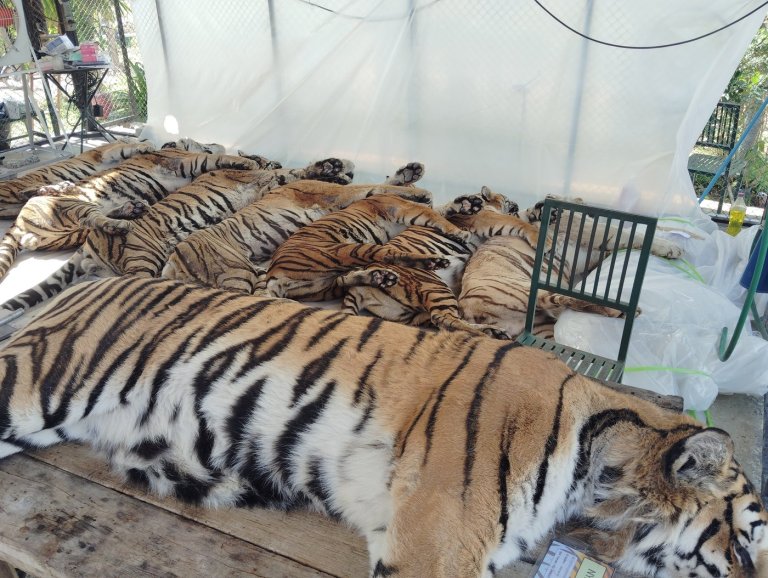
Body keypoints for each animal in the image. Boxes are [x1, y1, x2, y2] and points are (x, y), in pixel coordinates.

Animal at [0, 139, 156, 218]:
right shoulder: (106, 153)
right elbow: (127, 146)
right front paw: (146, 146)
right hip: (17, 187)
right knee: (23, 192)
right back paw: (58, 186)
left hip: (13, 208)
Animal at [0, 148, 274, 282]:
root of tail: (18, 222)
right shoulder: (187, 162)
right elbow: (218, 157)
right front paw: (250, 162)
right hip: (71, 206)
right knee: (92, 217)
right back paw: (120, 224)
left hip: (67, 233)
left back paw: (130, 209)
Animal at [161, 163, 430, 294]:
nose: (346, 172)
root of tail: (172, 263)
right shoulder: (337, 193)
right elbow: (374, 186)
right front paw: (421, 193)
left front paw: (410, 173)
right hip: (236, 273)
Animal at [459, 198, 685, 340]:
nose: (540, 204)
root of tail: (465, 308)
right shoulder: (594, 234)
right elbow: (631, 234)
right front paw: (672, 248)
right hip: (525, 289)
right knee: (566, 299)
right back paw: (621, 310)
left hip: (540, 323)